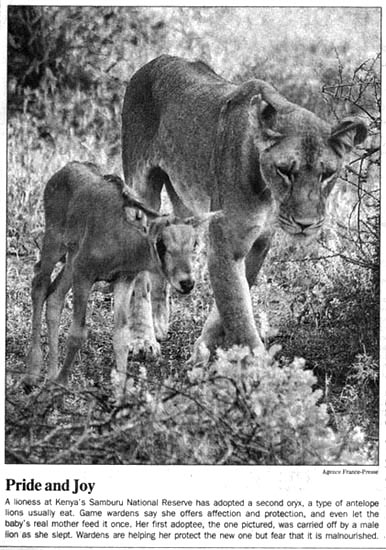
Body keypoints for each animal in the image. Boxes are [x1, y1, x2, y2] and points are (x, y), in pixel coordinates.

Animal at [24, 162, 217, 398]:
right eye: (161, 244)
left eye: (194, 244)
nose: (187, 283)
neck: (122, 240)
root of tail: (62, 171)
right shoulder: (84, 274)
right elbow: (77, 333)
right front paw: (63, 383)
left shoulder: (123, 279)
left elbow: (121, 336)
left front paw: (120, 396)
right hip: (54, 244)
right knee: (39, 284)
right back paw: (32, 374)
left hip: (70, 260)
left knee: (54, 297)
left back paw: (50, 378)